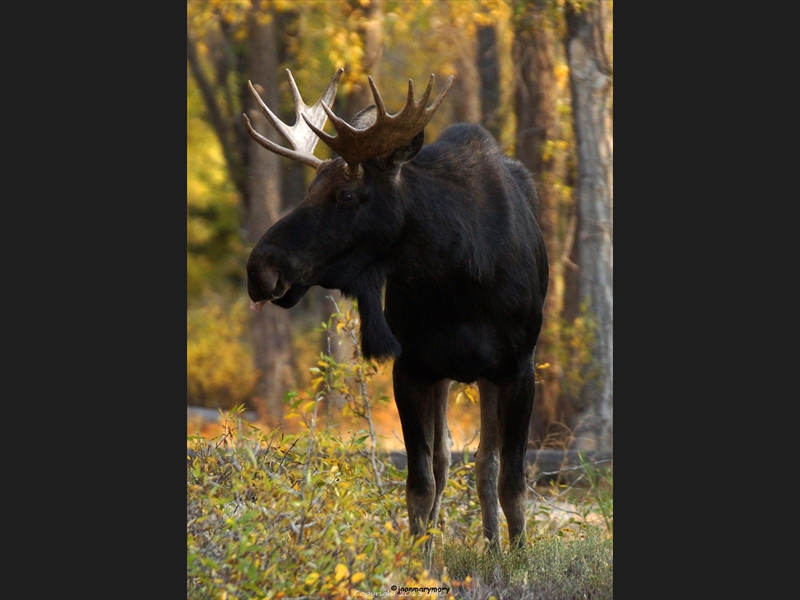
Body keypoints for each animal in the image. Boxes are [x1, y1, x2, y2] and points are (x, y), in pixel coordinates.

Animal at [242, 68, 552, 548]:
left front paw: (517, 556)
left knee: (486, 463)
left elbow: (513, 484)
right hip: (448, 374)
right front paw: (417, 556)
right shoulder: (412, 368)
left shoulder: (519, 367)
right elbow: (421, 485)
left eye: (347, 194)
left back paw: (494, 549)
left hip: (488, 374)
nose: (260, 269)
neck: (457, 277)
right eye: (311, 188)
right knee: (450, 459)